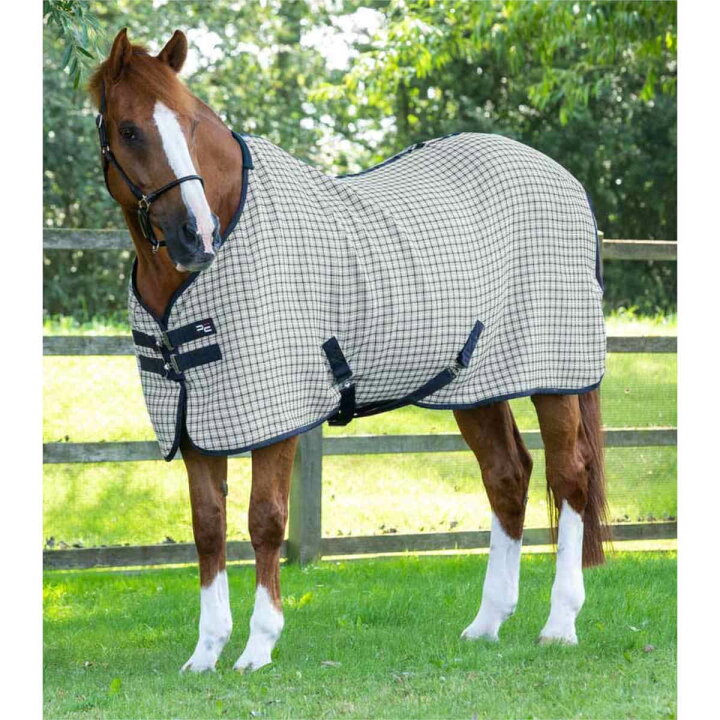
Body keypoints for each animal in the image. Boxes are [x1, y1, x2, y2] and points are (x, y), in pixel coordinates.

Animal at [89, 28, 609, 673]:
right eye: (130, 129)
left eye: (188, 123)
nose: (196, 236)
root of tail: (565, 181)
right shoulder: (195, 420)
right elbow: (208, 526)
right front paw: (205, 654)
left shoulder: (277, 414)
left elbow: (265, 521)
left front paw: (258, 648)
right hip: (476, 384)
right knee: (508, 477)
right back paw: (487, 624)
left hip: (555, 376)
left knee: (570, 478)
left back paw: (560, 625)